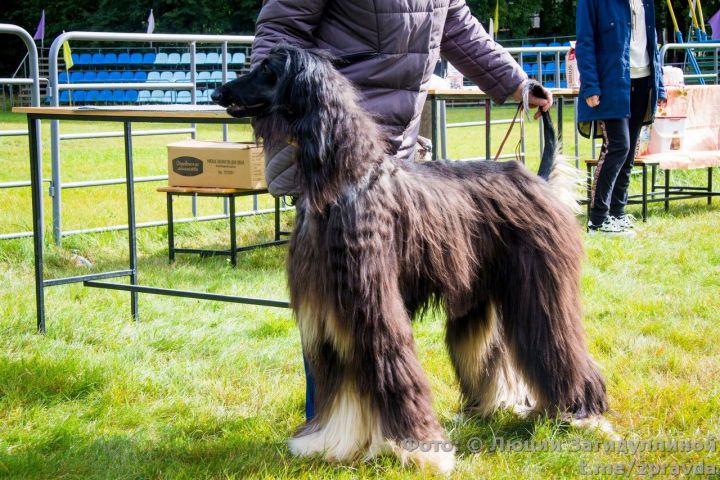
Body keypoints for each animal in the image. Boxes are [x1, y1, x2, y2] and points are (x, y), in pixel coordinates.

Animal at [212, 46, 608, 476]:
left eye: (268, 69)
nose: (217, 92)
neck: (345, 180)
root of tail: (537, 179)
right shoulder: (330, 314)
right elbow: (343, 388)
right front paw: (330, 441)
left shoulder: (372, 307)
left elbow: (394, 371)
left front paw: (420, 450)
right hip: (481, 294)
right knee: (488, 349)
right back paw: (495, 406)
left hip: (539, 288)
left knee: (557, 343)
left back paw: (583, 415)